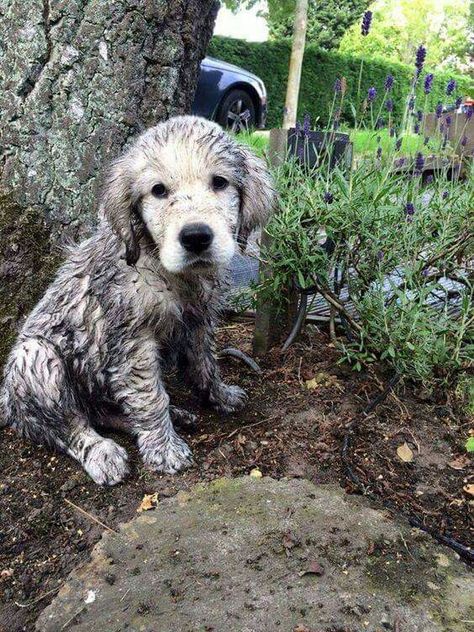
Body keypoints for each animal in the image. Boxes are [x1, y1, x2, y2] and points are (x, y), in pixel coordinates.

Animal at [0, 117, 274, 484]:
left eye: (219, 182)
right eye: (158, 190)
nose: (196, 237)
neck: (166, 269)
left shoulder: (199, 320)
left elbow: (205, 363)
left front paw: (219, 394)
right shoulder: (133, 343)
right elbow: (150, 397)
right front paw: (165, 449)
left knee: (106, 413)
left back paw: (173, 414)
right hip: (36, 358)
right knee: (68, 425)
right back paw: (101, 452)